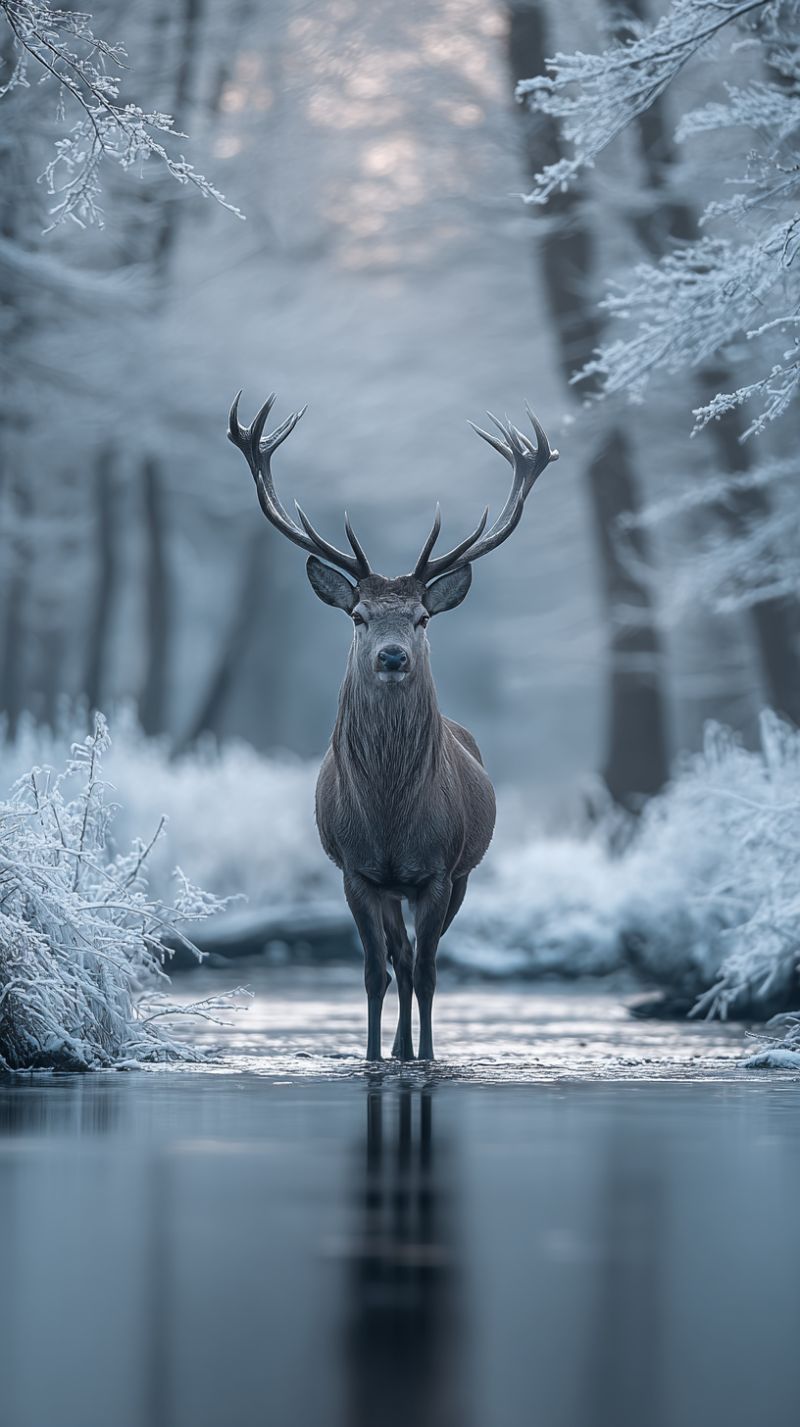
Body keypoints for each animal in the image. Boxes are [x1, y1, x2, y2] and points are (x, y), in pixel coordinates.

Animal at [227, 391, 558, 1062]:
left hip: (462, 874)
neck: (389, 818)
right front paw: (376, 1056)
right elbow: (373, 972)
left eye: (423, 617)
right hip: (389, 888)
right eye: (357, 614)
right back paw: (398, 1049)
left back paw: (414, 1049)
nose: (392, 655)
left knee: (418, 961)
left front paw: (426, 1057)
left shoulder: (438, 870)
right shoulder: (355, 870)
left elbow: (430, 971)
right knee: (398, 958)